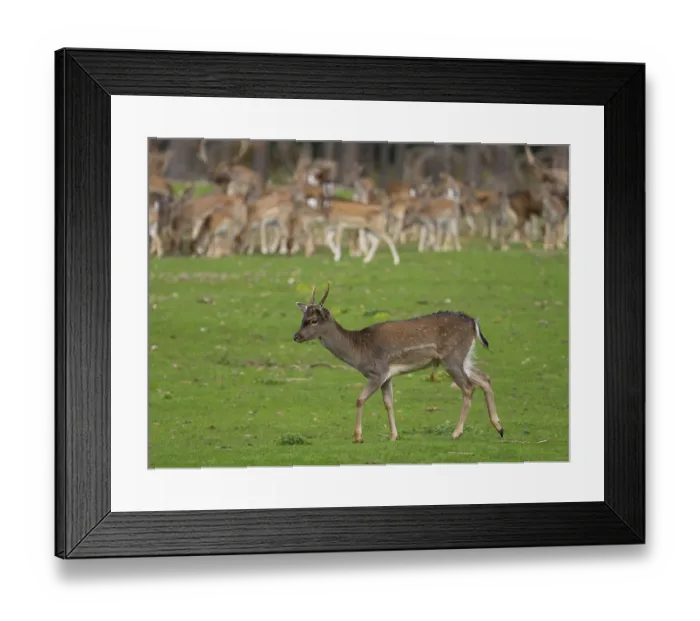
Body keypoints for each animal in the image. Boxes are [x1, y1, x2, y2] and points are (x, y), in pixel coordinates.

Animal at [293, 283, 503, 444]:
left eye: (313, 320)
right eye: (302, 319)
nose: (296, 336)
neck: (359, 351)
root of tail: (474, 322)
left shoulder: (377, 372)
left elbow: (360, 399)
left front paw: (358, 437)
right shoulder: (387, 376)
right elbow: (388, 403)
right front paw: (394, 435)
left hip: (452, 358)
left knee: (468, 387)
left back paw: (456, 433)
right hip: (463, 358)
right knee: (485, 378)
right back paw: (499, 427)